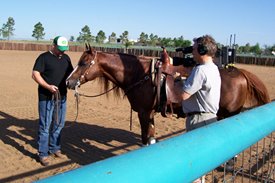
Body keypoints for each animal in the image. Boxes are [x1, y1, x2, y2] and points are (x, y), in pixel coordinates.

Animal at [67, 45, 272, 145]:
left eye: (84, 63)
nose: (68, 82)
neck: (140, 74)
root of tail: (240, 72)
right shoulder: (146, 113)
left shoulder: (145, 113)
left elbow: (147, 138)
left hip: (229, 115)